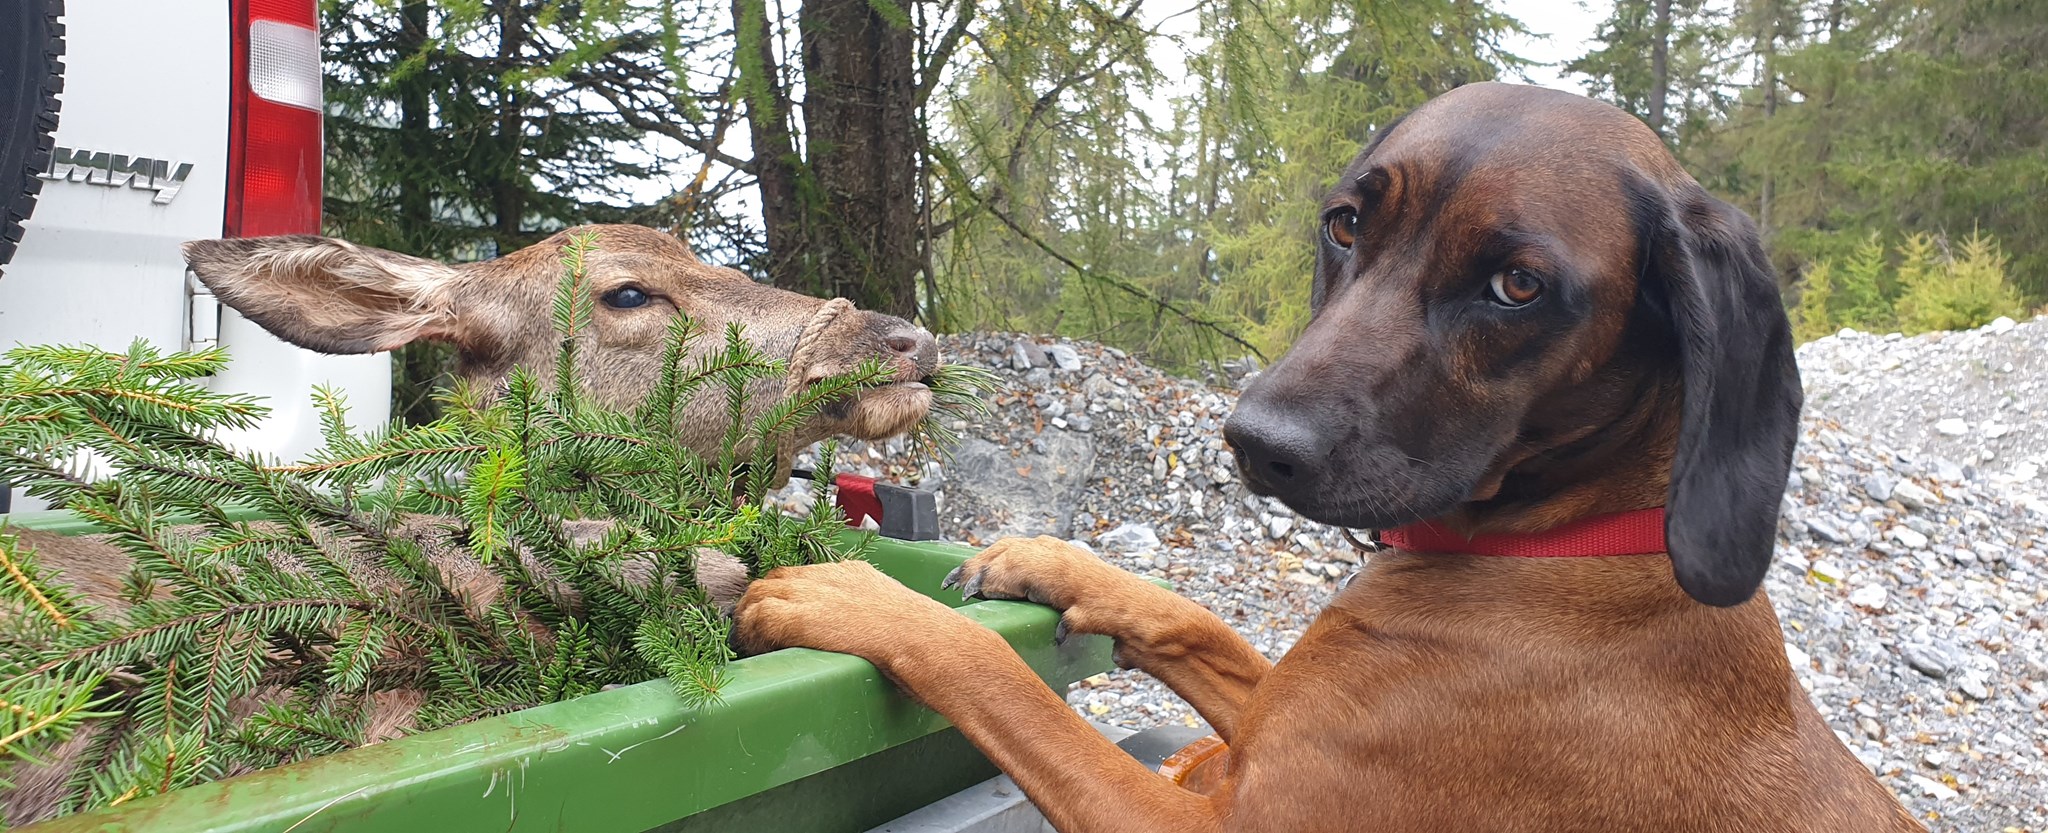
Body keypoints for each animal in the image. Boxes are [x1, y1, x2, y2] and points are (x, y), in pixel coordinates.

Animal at [737, 83, 1916, 833]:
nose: (1256, 443)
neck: (1564, 544)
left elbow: (998, 677)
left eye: (1517, 287)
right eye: (1346, 223)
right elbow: (1191, 615)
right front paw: (1048, 563)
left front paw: (851, 597)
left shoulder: (1197, 817)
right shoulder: (1270, 716)